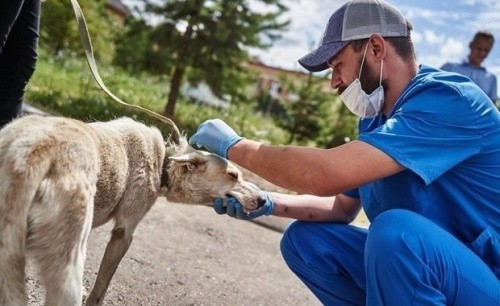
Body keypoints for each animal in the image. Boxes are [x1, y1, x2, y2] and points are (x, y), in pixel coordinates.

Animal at [0, 115, 266, 306]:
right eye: (233, 175)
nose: (263, 199)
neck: (164, 160)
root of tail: (32, 151)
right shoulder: (123, 234)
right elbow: (101, 286)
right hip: (68, 264)